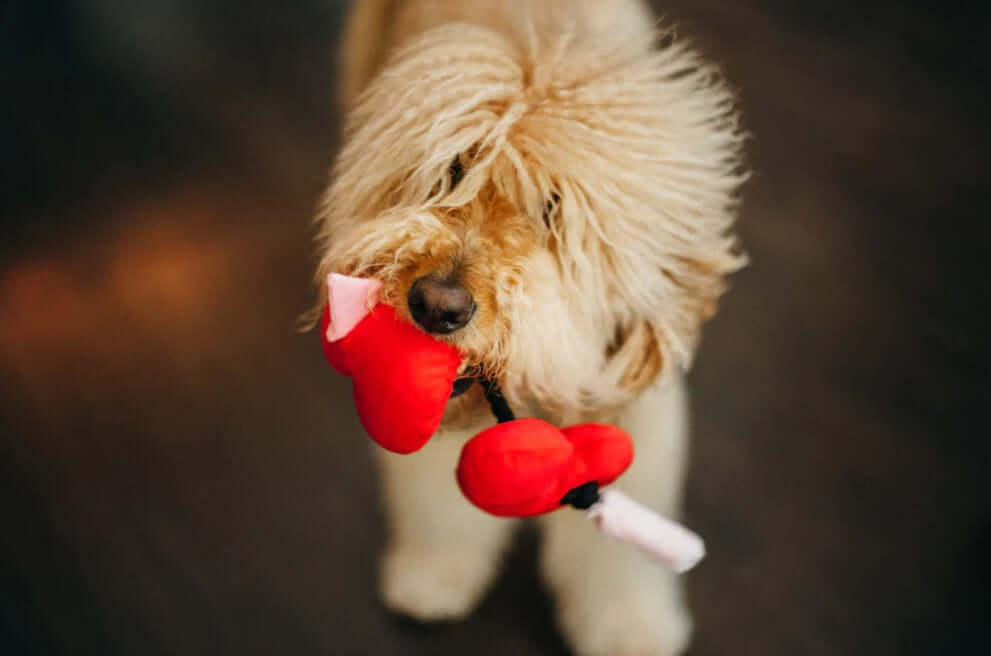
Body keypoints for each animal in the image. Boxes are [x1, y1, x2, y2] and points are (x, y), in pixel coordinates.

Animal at [310, 2, 744, 652]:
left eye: (553, 210)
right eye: (454, 169)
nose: (435, 305)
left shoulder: (633, 413)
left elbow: (614, 551)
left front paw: (627, 626)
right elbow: (439, 505)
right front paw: (432, 574)